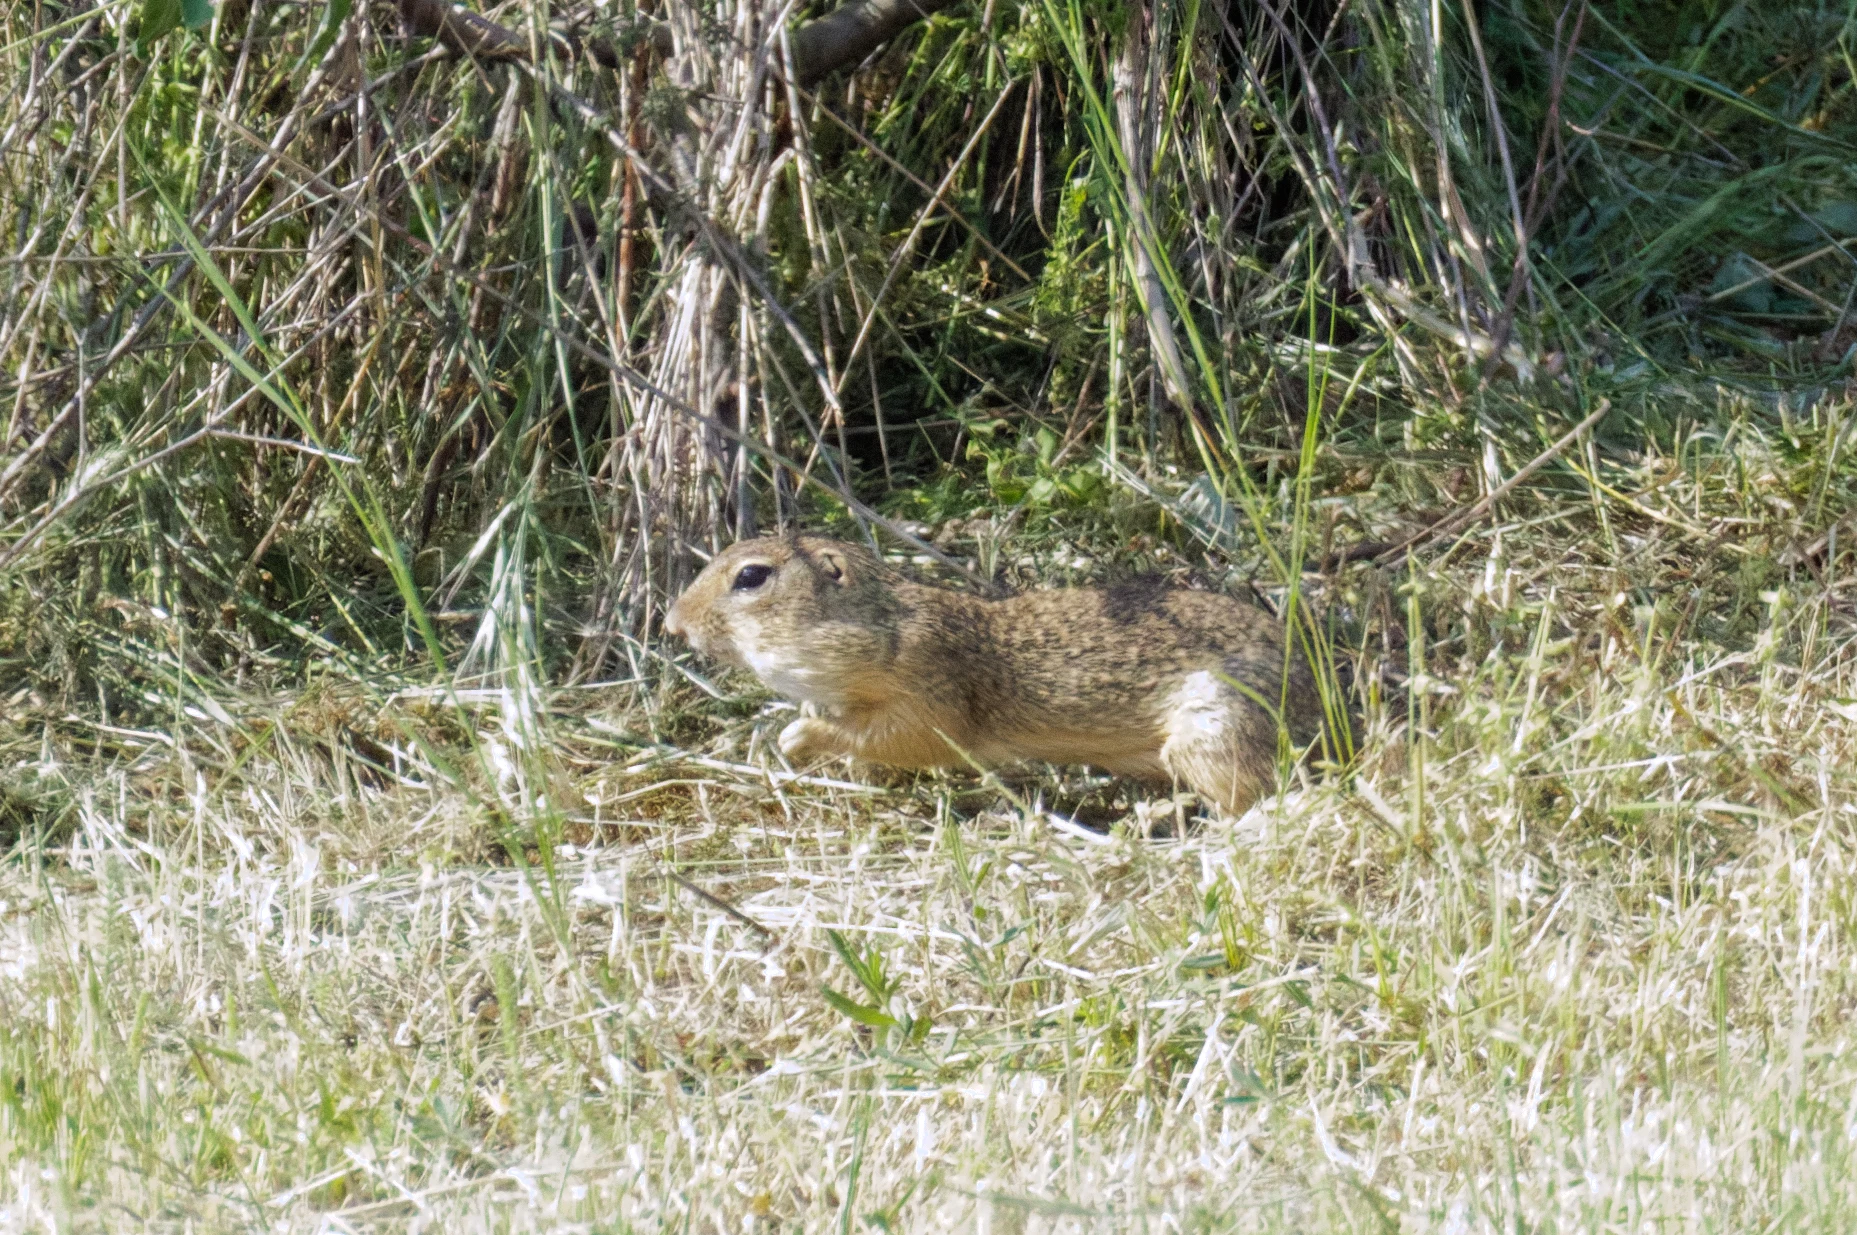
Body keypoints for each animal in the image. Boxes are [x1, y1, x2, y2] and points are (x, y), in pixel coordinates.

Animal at [664, 534, 1343, 816]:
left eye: (751, 577)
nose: (673, 625)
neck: (881, 627)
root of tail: (1337, 722)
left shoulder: (927, 694)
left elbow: (892, 737)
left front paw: (795, 738)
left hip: (1213, 731)